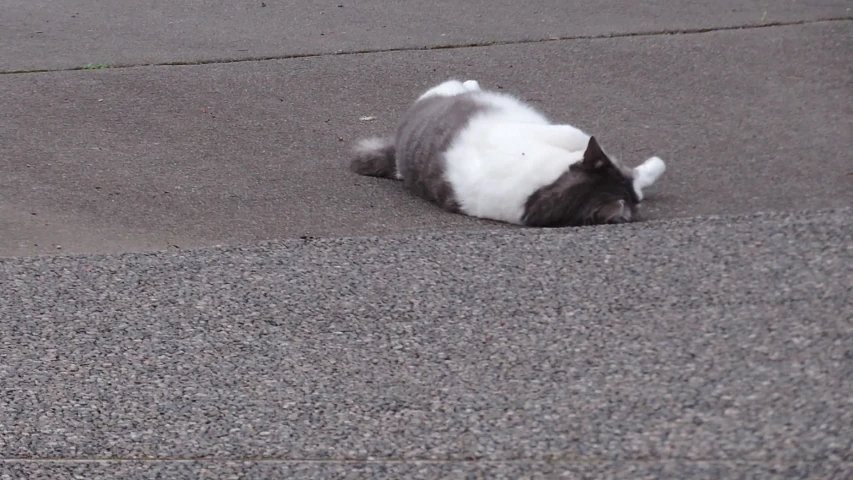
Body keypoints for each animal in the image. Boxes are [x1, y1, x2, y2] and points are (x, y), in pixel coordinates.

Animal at [348, 79, 664, 227]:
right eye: (635, 203)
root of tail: (396, 153)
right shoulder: (549, 134)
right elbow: (577, 135)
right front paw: (653, 167)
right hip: (440, 92)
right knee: (457, 86)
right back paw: (470, 85)